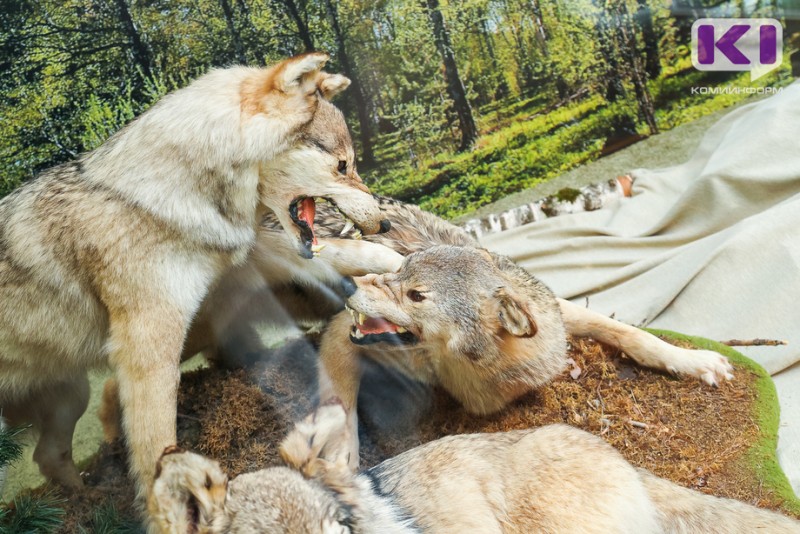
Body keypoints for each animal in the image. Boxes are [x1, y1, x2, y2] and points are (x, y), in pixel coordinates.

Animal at [0, 52, 390, 500]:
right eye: (343, 165)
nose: (383, 222)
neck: (163, 195)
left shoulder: (242, 259)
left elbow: (322, 254)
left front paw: (387, 259)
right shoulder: (148, 353)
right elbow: (157, 449)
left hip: (73, 394)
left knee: (48, 456)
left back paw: (84, 498)